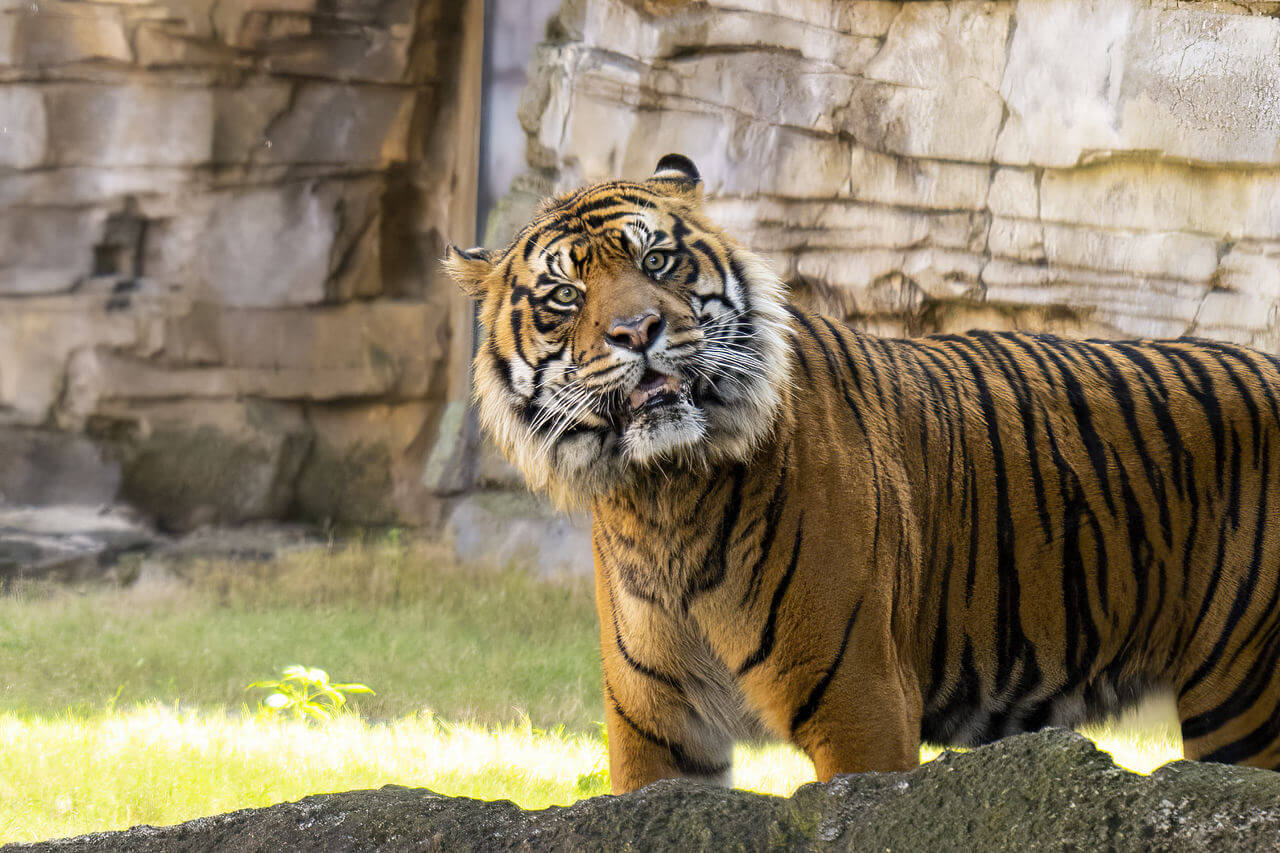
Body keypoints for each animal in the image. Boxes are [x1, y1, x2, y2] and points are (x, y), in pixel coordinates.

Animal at [445, 151, 1280, 788]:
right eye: (564, 294)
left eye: (657, 259)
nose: (637, 329)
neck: (663, 493)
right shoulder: (655, 725)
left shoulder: (861, 701)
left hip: (1245, 698)